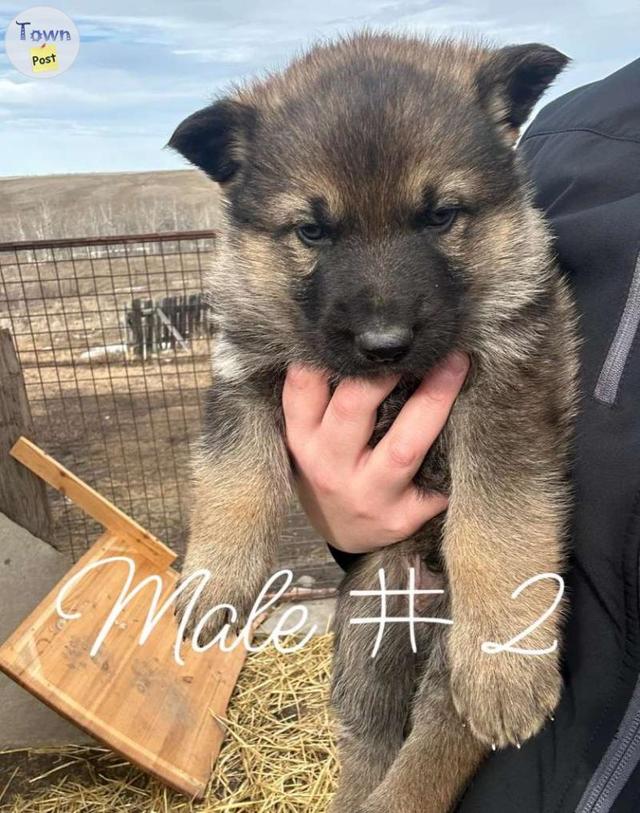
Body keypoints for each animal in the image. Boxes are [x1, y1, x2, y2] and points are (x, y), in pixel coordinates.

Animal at [170, 31, 580, 812]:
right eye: (312, 230)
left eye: (441, 215)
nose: (384, 343)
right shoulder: (244, 372)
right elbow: (232, 479)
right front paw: (215, 582)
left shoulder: (509, 386)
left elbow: (497, 521)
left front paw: (508, 660)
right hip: (369, 627)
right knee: (369, 738)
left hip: (443, 655)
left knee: (440, 733)